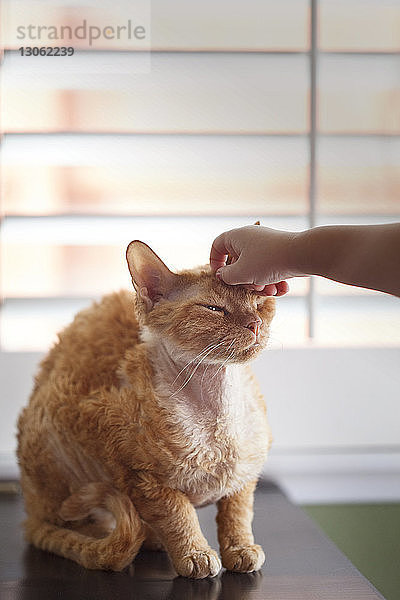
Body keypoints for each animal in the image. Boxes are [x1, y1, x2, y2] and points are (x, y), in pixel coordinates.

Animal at [15, 241, 274, 580]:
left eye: (260, 303)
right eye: (214, 309)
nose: (254, 324)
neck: (214, 409)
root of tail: (30, 511)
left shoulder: (243, 478)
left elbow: (238, 513)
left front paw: (240, 549)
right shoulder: (142, 478)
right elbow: (178, 514)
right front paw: (195, 554)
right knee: (76, 523)